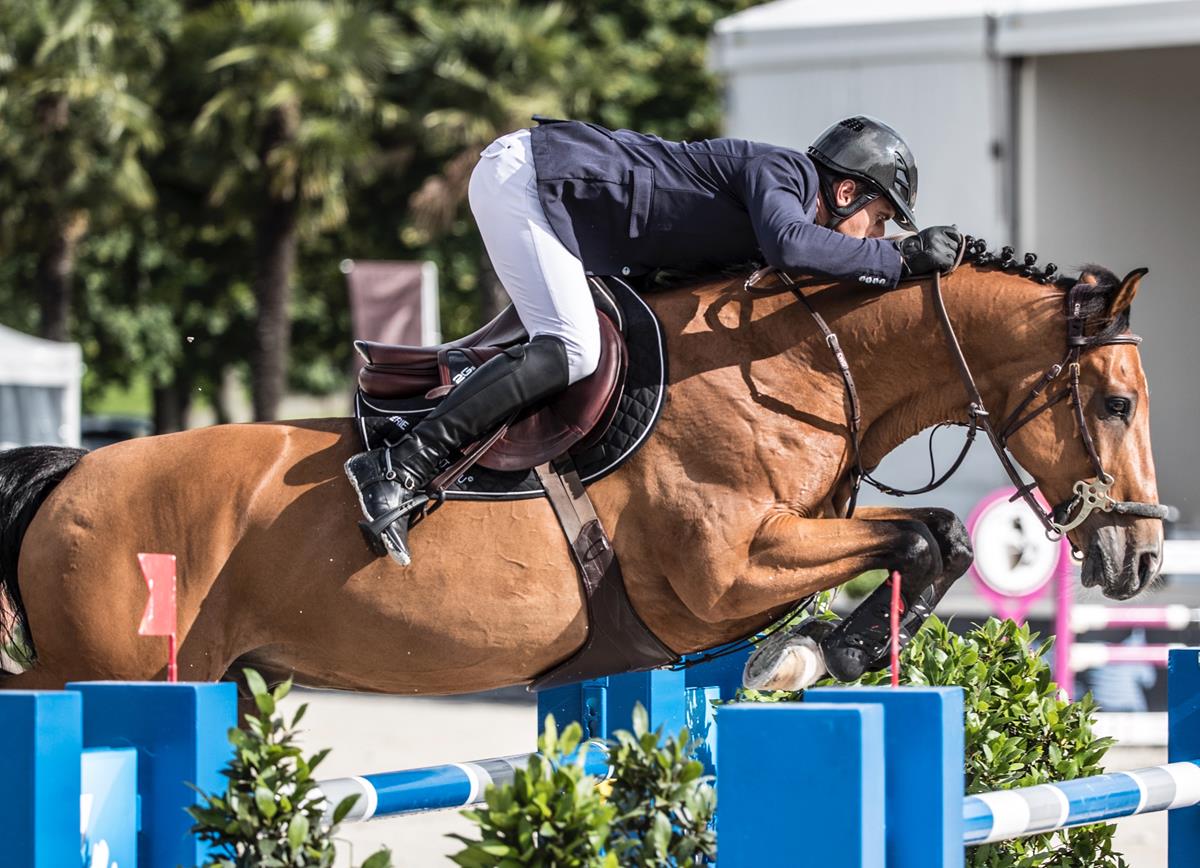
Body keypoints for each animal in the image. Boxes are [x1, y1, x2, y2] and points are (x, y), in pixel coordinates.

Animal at [0, 247, 1161, 696]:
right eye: (1115, 402)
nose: (1142, 557)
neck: (790, 365)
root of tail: (70, 477)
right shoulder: (722, 573)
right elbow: (926, 533)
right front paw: (804, 658)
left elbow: (935, 540)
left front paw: (818, 654)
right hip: (114, 673)